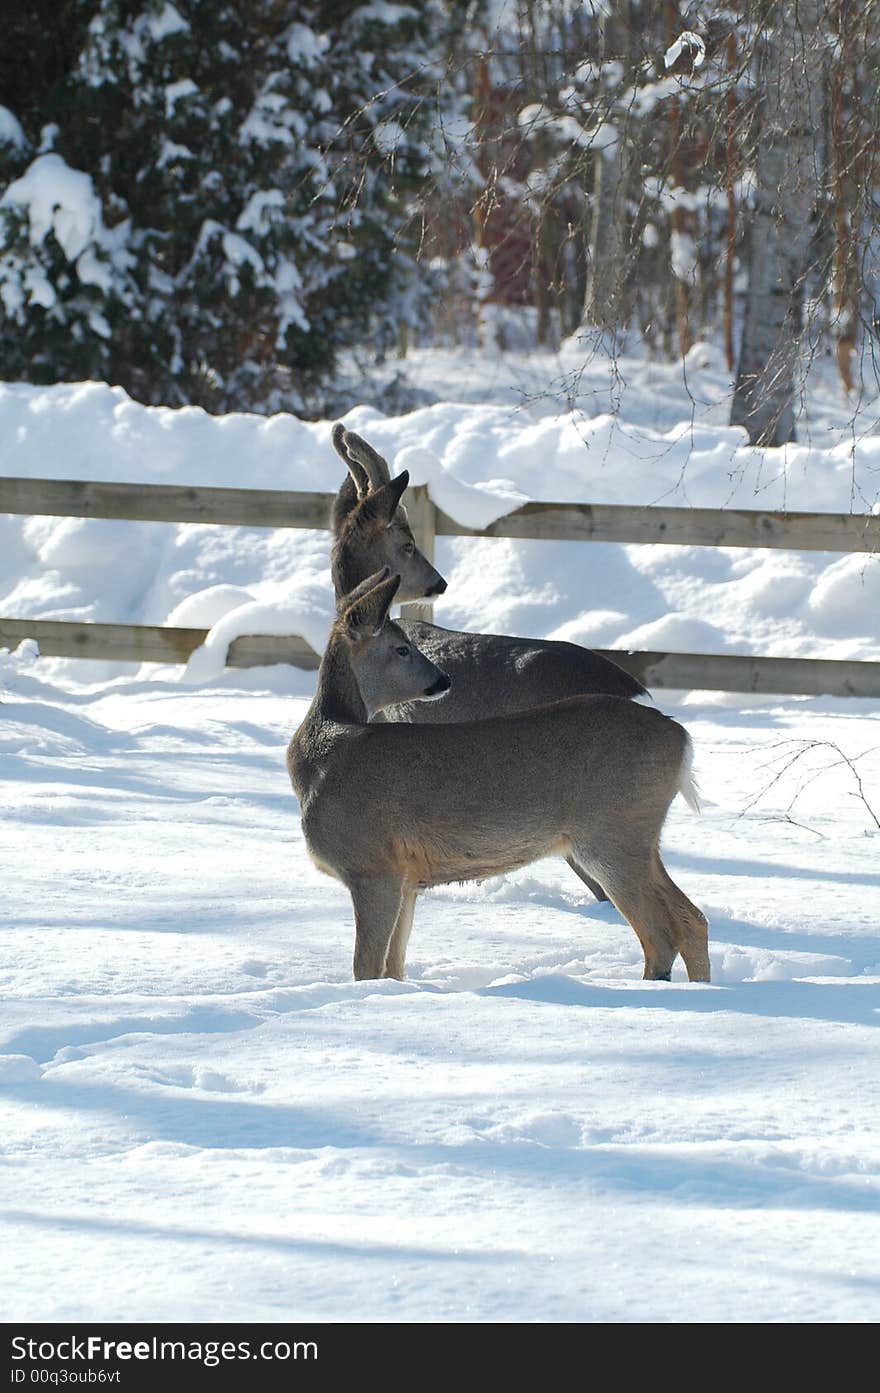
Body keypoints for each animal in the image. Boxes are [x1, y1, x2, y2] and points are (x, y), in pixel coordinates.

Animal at [285, 562, 712, 980]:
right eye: (401, 648)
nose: (443, 680)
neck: (321, 756)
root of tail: (681, 737)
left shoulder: (372, 864)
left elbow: (367, 968)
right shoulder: (407, 878)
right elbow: (394, 967)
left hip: (611, 832)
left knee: (661, 934)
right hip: (639, 837)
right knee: (692, 919)